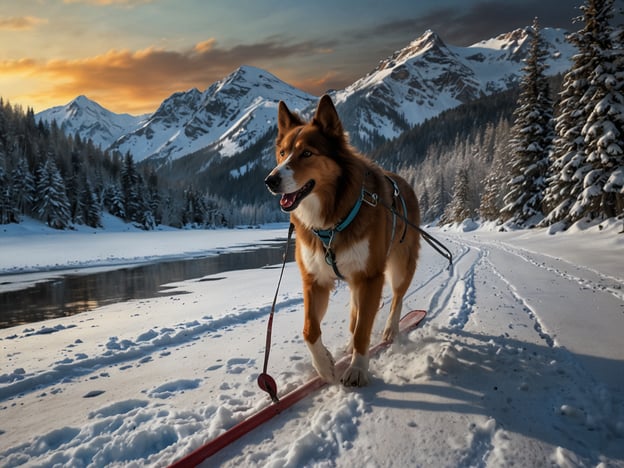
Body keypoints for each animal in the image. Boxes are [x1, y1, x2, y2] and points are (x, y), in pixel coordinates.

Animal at [264, 95, 420, 388]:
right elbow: (309, 330)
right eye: (282, 153)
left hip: (399, 266)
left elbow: (363, 331)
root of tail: (404, 182)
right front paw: (325, 366)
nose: (270, 180)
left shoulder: (371, 277)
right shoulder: (315, 280)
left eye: (307, 153)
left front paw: (358, 369)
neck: (332, 221)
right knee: (356, 314)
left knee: (396, 298)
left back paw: (390, 330)